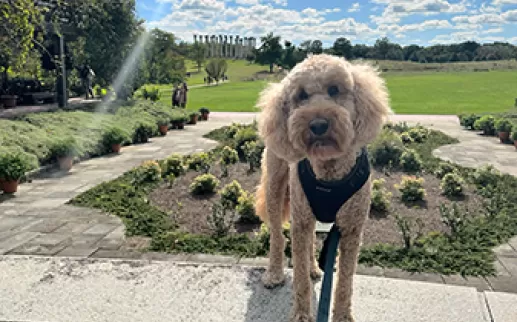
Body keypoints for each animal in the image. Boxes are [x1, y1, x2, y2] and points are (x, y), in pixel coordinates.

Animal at [254, 54, 392, 320]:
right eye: (301, 95)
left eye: (334, 90)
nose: (318, 124)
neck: (329, 171)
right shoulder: (300, 220)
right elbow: (299, 279)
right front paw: (301, 315)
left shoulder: (351, 228)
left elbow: (345, 281)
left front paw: (342, 315)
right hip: (277, 188)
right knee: (277, 236)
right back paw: (274, 273)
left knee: (309, 241)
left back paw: (314, 269)